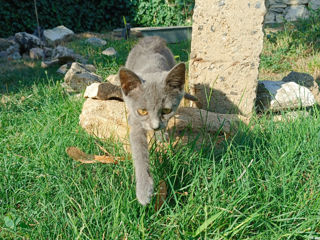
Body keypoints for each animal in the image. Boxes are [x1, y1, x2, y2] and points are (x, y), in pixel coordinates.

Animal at [119, 36, 186, 205]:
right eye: (143, 111)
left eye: (166, 110)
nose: (155, 126)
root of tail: (151, 38)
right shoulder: (135, 121)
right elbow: (139, 152)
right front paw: (143, 190)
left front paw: (161, 135)